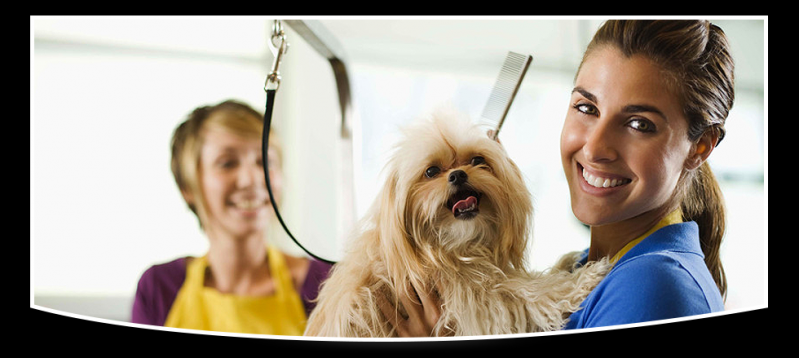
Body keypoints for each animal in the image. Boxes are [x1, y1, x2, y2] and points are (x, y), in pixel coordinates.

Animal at [304, 110, 608, 338]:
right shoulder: (479, 301)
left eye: (477, 160)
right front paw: (584, 278)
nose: (458, 175)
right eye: (431, 171)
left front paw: (568, 262)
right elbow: (532, 293)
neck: (452, 244)